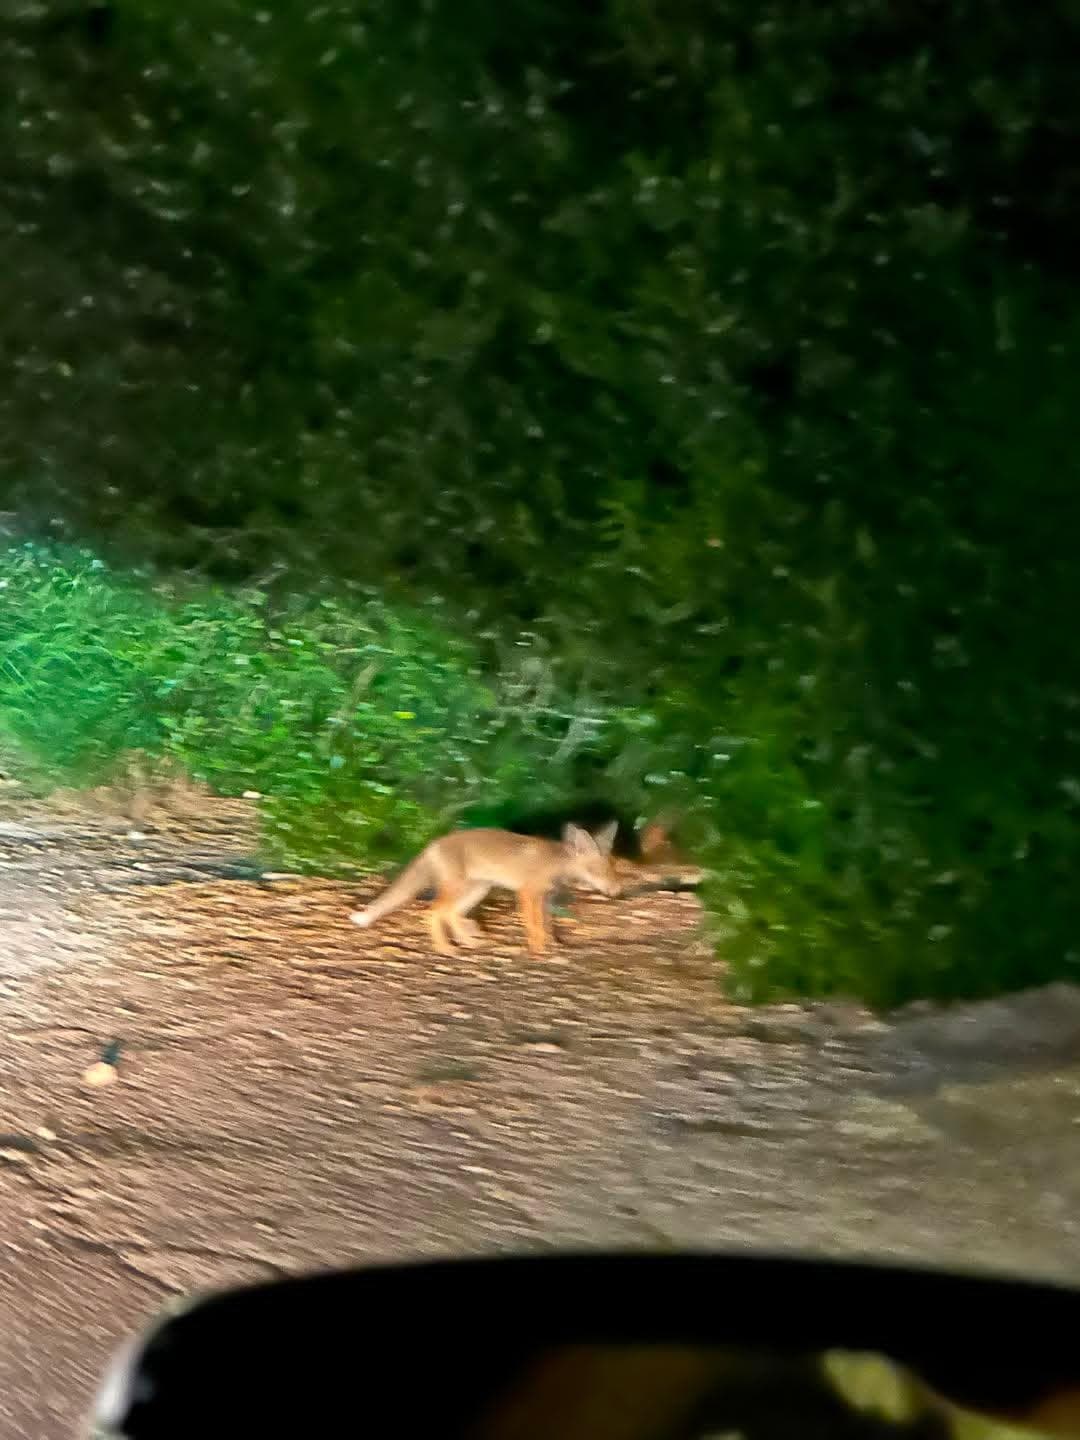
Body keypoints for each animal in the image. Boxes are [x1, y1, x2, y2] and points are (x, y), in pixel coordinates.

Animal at [349, 821, 620, 956]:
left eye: (613, 869)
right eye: (599, 871)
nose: (617, 890)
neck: (554, 863)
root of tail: (434, 843)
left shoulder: (545, 897)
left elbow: (547, 925)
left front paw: (552, 946)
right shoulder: (527, 892)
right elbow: (534, 926)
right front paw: (538, 950)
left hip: (477, 890)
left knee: (451, 915)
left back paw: (469, 941)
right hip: (460, 889)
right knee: (433, 912)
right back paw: (445, 948)